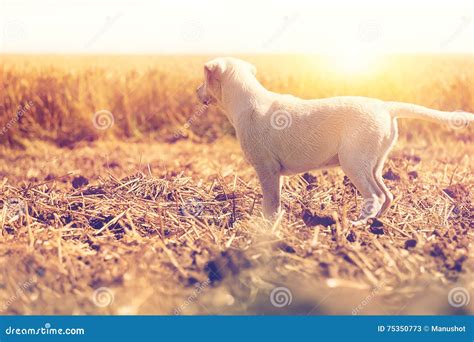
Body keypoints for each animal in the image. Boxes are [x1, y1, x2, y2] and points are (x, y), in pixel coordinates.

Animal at [195, 57, 470, 224]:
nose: (197, 92)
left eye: (204, 79)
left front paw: (267, 224)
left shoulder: (267, 169)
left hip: (354, 163)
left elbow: (270, 202)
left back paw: (358, 224)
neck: (245, 101)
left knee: (375, 196)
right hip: (373, 164)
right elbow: (277, 200)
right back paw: (376, 222)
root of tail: (385, 106)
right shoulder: (275, 173)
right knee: (387, 195)